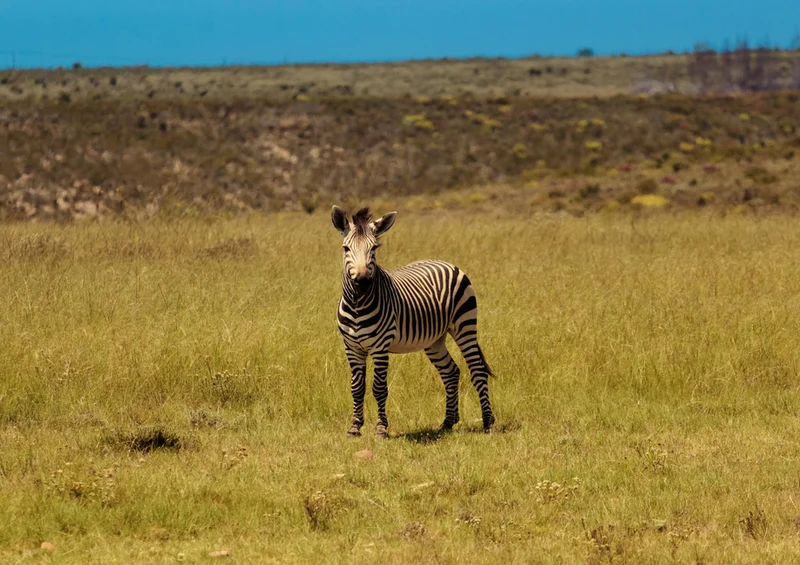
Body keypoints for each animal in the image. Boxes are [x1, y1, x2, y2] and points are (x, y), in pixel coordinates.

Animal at [331, 205, 495, 438]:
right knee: (451, 372)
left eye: (374, 249)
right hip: (435, 340)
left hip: (465, 326)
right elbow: (357, 387)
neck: (357, 305)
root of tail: (445, 262)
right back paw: (448, 422)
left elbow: (379, 388)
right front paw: (354, 427)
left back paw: (488, 422)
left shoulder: (380, 347)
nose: (362, 283)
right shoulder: (352, 347)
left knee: (478, 371)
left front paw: (381, 429)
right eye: (346, 248)